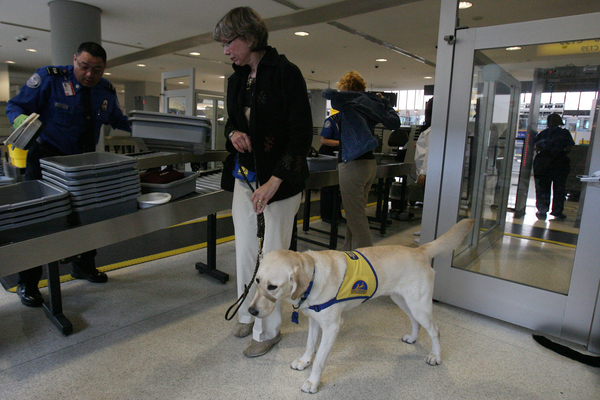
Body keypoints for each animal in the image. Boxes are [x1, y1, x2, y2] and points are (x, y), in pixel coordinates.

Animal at [247, 217, 474, 392]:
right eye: (257, 280)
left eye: (273, 286)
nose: (251, 310)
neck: (313, 276)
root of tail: (420, 250)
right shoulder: (314, 320)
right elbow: (310, 345)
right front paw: (304, 361)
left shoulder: (332, 327)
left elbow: (320, 359)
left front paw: (312, 382)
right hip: (403, 300)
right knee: (414, 321)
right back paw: (412, 338)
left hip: (419, 305)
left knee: (435, 330)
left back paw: (435, 356)